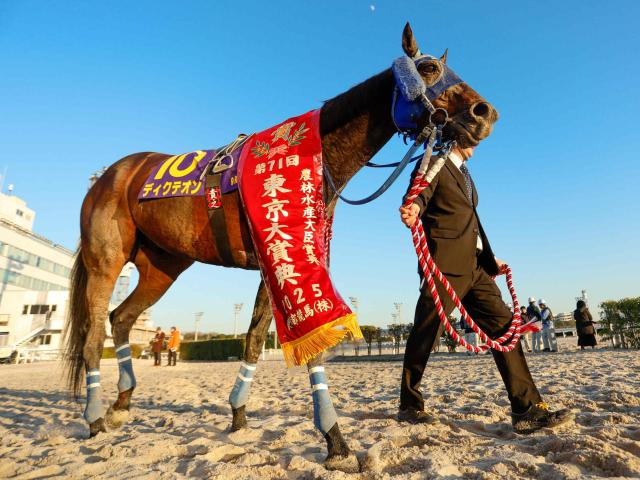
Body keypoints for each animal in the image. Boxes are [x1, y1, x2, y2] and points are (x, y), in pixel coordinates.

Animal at [64, 23, 498, 472]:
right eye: (428, 68)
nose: (485, 113)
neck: (315, 156)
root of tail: (109, 174)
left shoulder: (277, 259)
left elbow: (255, 338)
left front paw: (238, 414)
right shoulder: (289, 256)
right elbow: (313, 348)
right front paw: (336, 441)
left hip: (162, 266)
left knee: (121, 318)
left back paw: (122, 402)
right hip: (106, 260)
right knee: (93, 334)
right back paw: (95, 418)